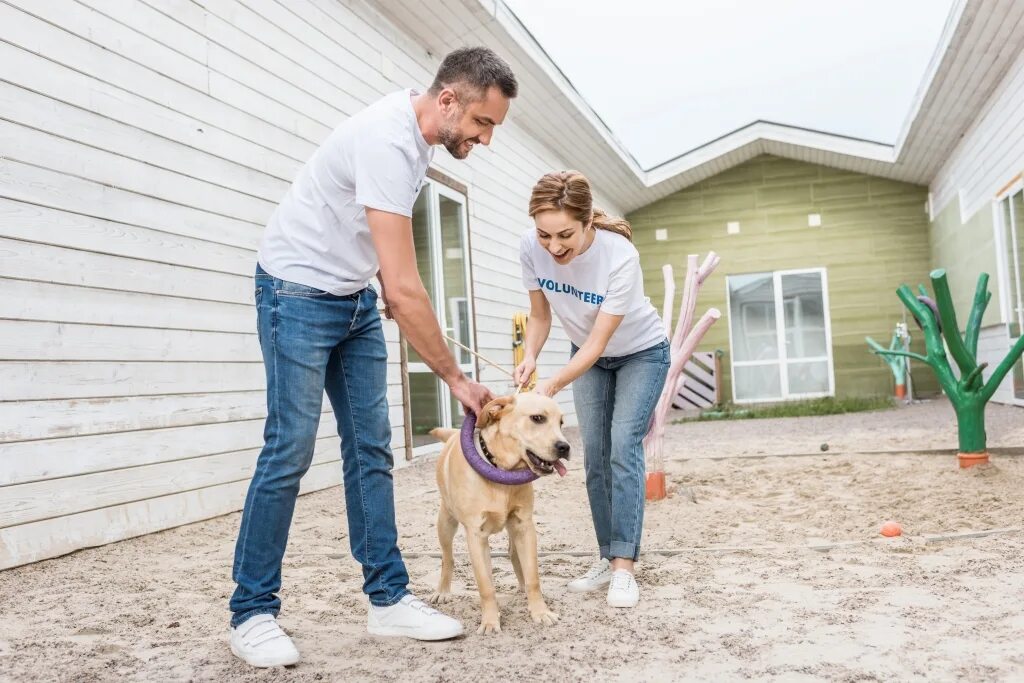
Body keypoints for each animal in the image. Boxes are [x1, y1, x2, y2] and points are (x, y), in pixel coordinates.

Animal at [425, 393, 577, 638]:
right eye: (537, 418)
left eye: (561, 423)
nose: (565, 447)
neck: (502, 471)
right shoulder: (476, 536)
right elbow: (486, 586)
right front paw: (489, 621)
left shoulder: (524, 526)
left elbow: (533, 577)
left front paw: (540, 611)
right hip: (446, 523)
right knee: (448, 558)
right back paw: (443, 591)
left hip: (514, 531)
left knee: (514, 556)